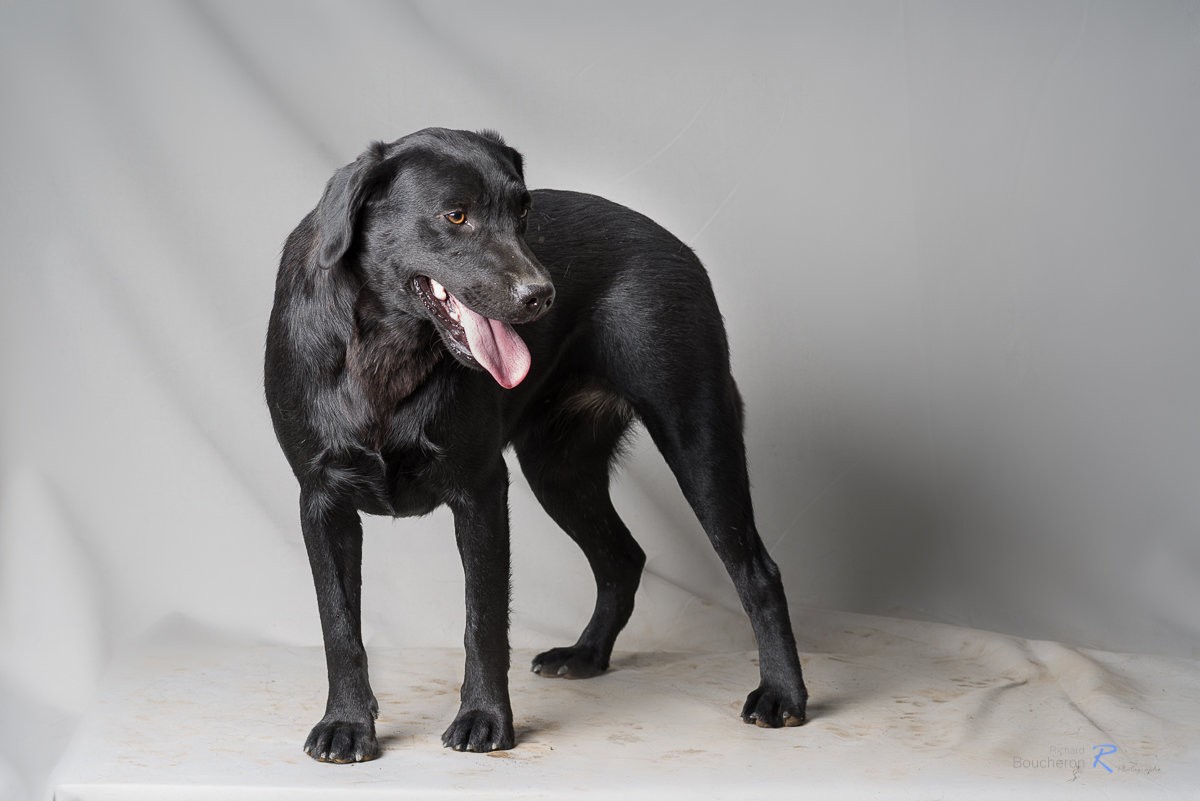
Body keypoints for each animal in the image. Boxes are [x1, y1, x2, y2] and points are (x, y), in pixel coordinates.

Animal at [265, 127, 807, 762]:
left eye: (523, 214)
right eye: (456, 216)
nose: (541, 295)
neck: (386, 347)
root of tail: (675, 244)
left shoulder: (480, 491)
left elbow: (483, 620)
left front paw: (484, 720)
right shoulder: (322, 499)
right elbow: (339, 625)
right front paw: (346, 724)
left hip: (697, 436)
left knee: (756, 570)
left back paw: (782, 695)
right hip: (559, 471)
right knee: (623, 557)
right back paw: (587, 656)